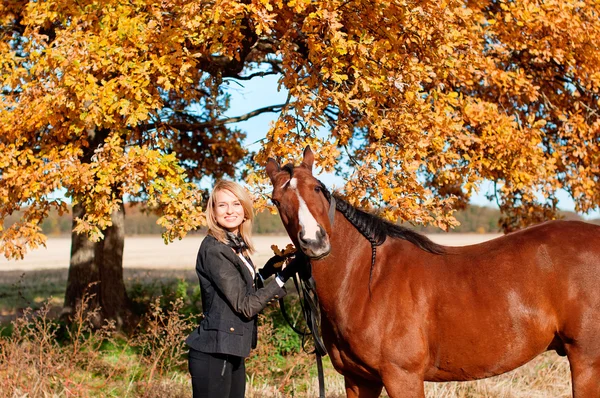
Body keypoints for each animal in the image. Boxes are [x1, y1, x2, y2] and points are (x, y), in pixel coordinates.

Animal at [264, 147, 600, 398]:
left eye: (317, 188)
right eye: (276, 201)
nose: (314, 242)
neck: (367, 280)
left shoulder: (403, 377)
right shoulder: (359, 380)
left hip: (587, 361)